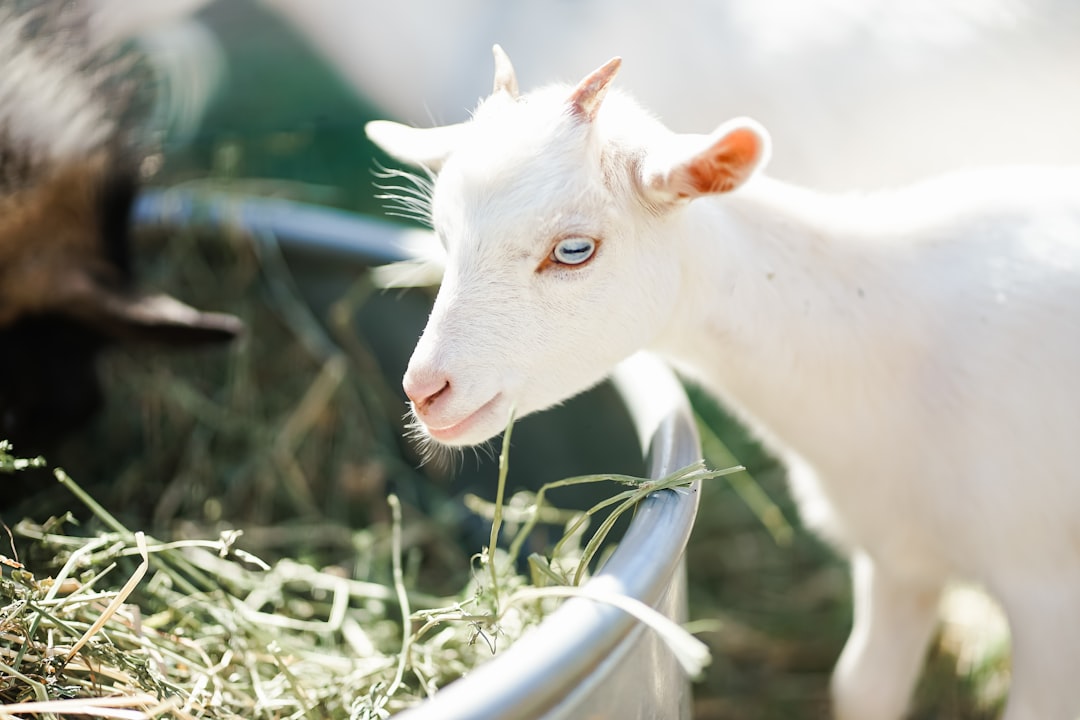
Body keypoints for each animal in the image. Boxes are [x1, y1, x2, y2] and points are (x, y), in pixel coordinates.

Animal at [366, 47, 1080, 720]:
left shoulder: (1047, 591)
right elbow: (862, 691)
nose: (425, 389)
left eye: (573, 250)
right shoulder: (897, 555)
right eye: (441, 234)